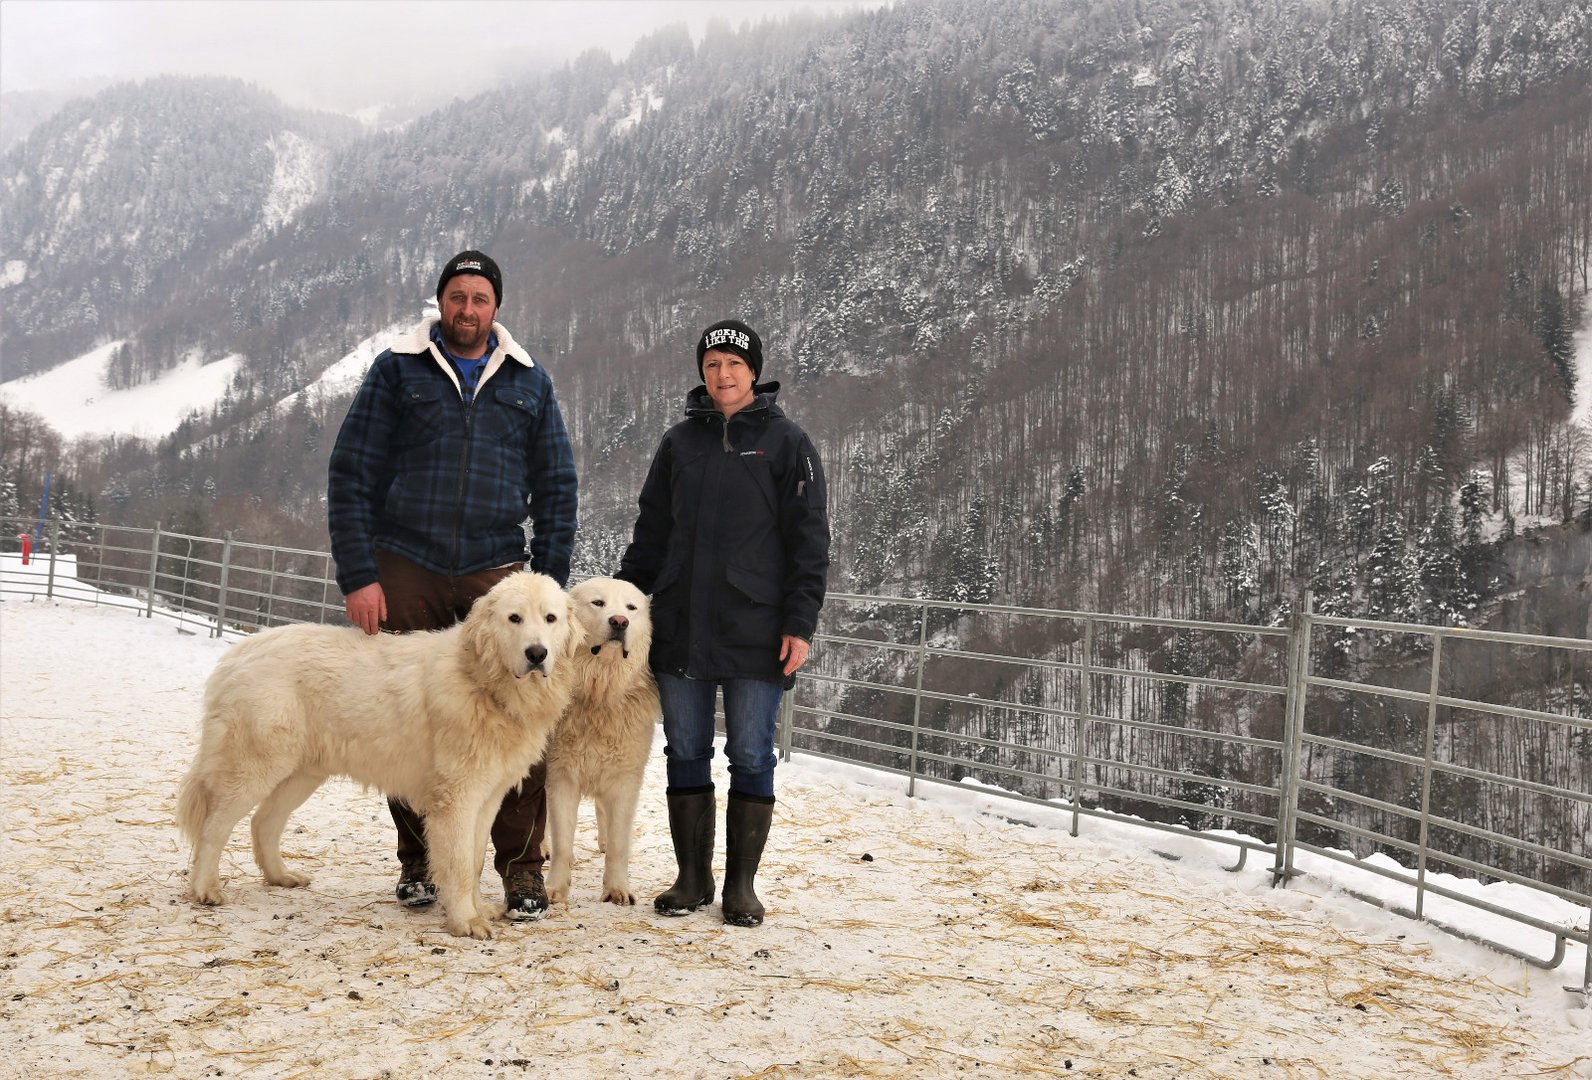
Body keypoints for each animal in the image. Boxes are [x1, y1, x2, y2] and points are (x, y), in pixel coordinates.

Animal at [175, 572, 577, 939]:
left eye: (550, 618)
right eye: (514, 618)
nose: (537, 653)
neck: (482, 681)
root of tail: (240, 652)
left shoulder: (488, 797)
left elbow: (475, 860)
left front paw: (477, 909)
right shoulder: (457, 799)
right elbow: (461, 864)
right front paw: (465, 921)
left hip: (301, 774)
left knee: (263, 823)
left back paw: (280, 876)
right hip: (254, 766)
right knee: (214, 826)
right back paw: (206, 889)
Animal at [543, 576, 661, 908]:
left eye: (631, 608)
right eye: (598, 603)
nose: (619, 621)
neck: (599, 693)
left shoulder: (623, 780)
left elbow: (620, 842)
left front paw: (617, 888)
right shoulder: (561, 777)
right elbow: (562, 842)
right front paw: (555, 888)